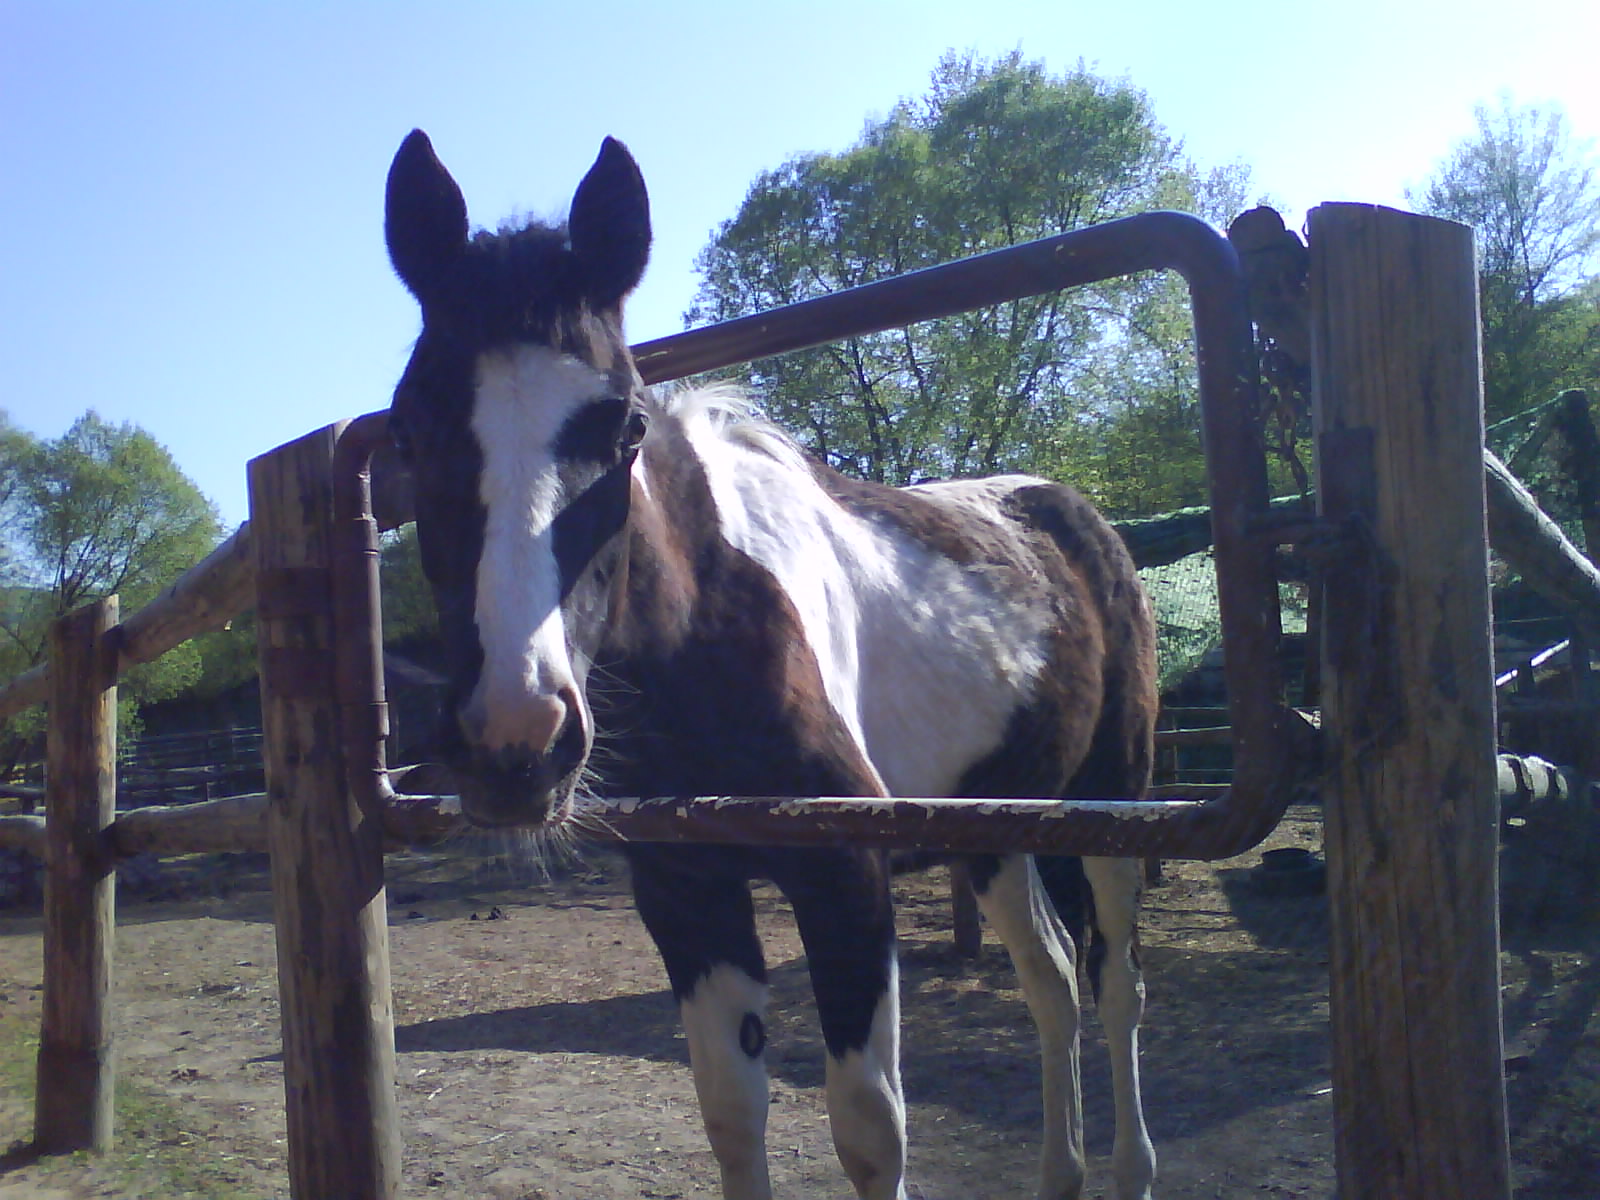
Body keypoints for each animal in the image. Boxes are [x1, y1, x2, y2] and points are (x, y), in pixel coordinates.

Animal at [387, 131, 1164, 1200]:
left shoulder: (845, 876)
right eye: (408, 426)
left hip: (1111, 805)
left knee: (1115, 983)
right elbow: (730, 1113)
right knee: (1051, 982)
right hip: (997, 827)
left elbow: (872, 1132)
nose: (517, 740)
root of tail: (1078, 517)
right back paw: (1061, 1173)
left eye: (625, 427)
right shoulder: (686, 892)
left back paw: (1130, 1165)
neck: (707, 638)